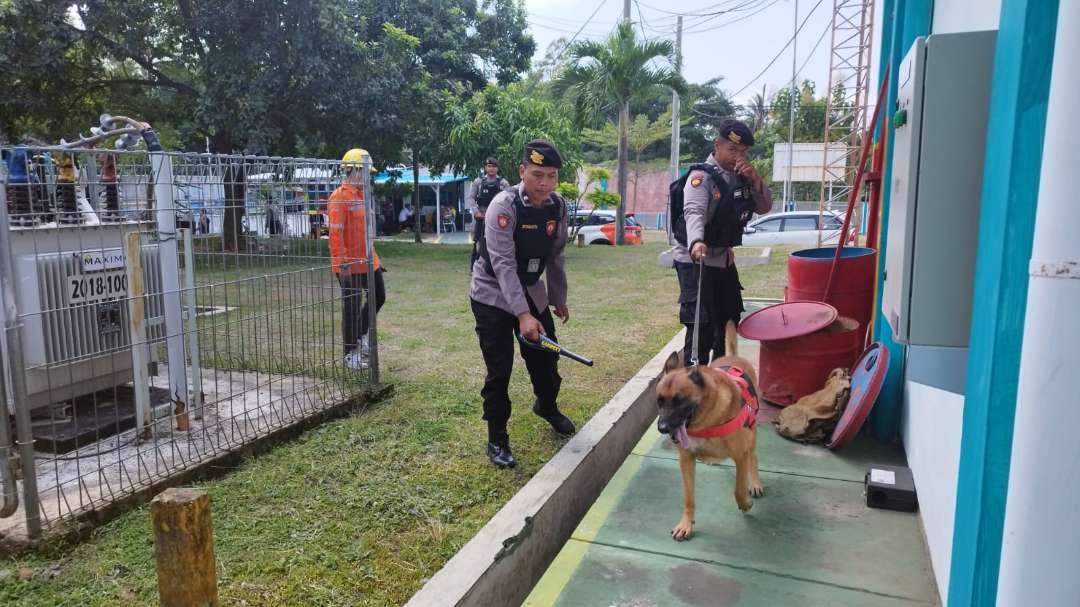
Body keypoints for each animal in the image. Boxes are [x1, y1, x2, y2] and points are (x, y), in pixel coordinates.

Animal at [652, 317, 764, 537]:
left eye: (680, 401)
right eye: (659, 401)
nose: (662, 428)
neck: (706, 421)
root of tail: (733, 357)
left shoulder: (740, 456)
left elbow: (739, 488)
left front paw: (745, 503)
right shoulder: (686, 460)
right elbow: (688, 497)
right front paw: (686, 524)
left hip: (752, 433)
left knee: (753, 457)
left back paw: (754, 482)